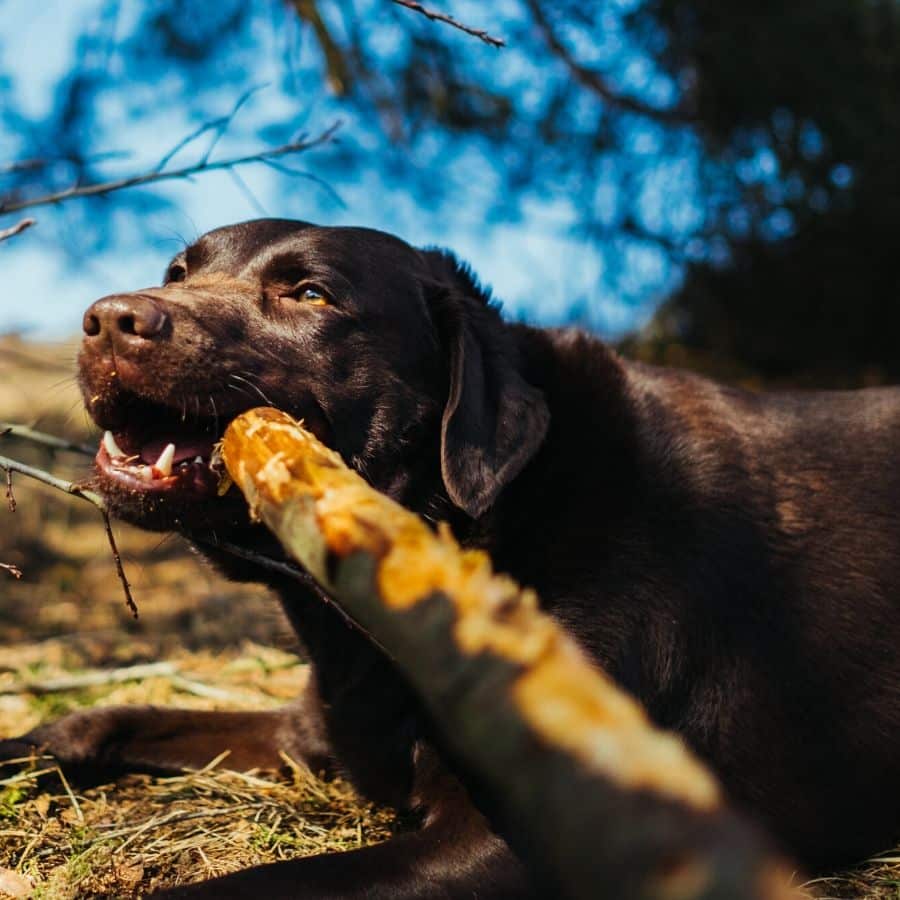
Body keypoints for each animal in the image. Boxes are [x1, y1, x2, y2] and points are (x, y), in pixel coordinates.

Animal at [1, 220, 900, 900]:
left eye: (311, 294)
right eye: (177, 272)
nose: (107, 319)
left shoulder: (519, 839)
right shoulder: (318, 728)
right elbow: (101, 720)